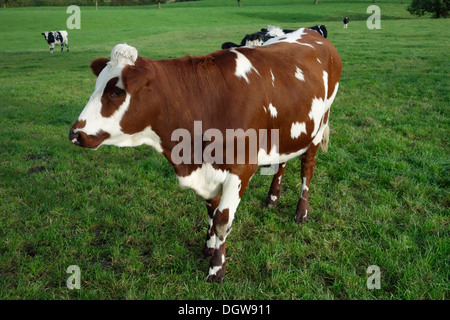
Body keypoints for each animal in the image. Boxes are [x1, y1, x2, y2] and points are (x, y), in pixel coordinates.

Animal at [68, 28, 342, 282]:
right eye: (97, 86)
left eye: (116, 92)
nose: (75, 134)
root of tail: (312, 32)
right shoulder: (208, 169)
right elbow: (211, 211)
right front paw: (209, 248)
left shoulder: (241, 168)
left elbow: (222, 220)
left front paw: (216, 269)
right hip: (289, 129)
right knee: (282, 160)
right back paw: (272, 197)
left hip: (319, 124)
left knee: (307, 167)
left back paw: (301, 212)